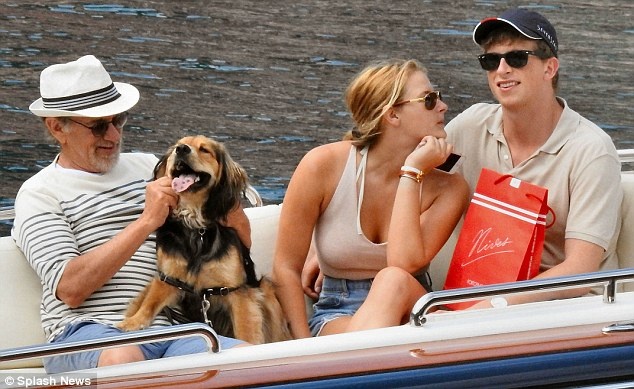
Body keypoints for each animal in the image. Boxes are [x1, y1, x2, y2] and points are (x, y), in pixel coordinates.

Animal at [117, 136, 290, 342]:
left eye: (204, 150)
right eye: (176, 146)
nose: (181, 149)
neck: (195, 226)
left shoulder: (236, 290)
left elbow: (246, 330)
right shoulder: (168, 278)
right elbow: (149, 304)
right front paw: (133, 322)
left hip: (266, 289)